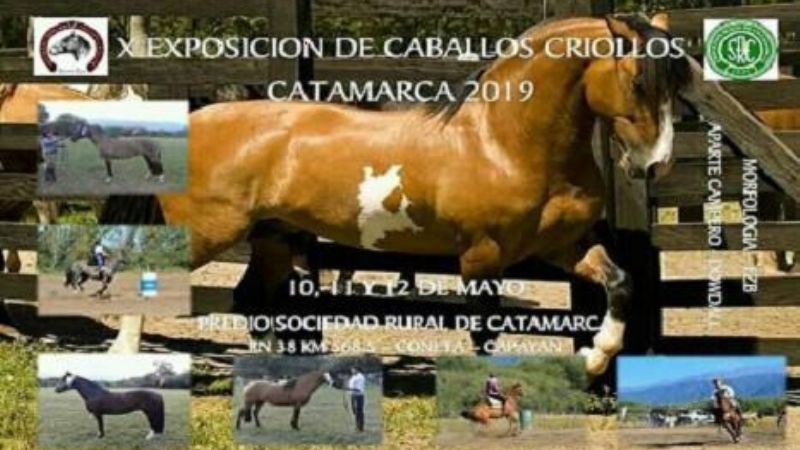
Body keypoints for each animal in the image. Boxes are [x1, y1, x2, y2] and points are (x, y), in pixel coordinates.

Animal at [106, 14, 691, 372]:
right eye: (638, 80)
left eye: (676, 83)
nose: (656, 163)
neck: (501, 142)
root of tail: (194, 117)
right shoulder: (481, 255)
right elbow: (484, 329)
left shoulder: (562, 246)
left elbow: (621, 284)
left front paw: (595, 357)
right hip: (207, 232)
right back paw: (125, 359)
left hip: (274, 238)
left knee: (251, 300)